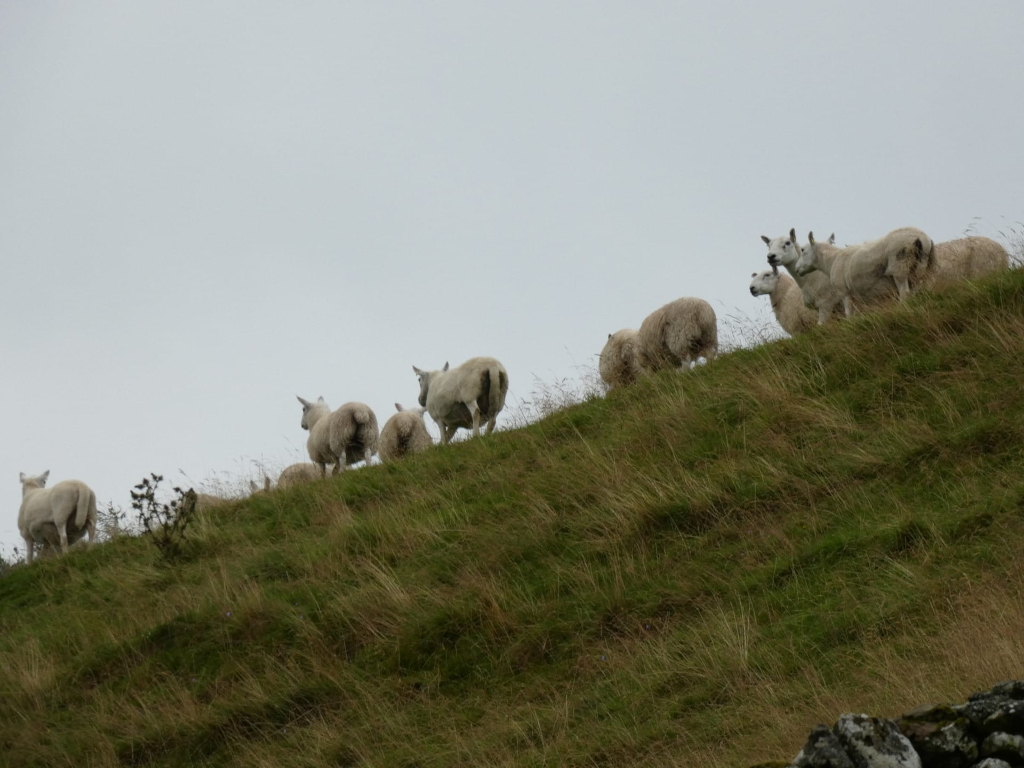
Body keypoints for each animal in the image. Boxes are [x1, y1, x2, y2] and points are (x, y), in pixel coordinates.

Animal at [795, 227, 935, 316]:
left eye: (802, 250)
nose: (796, 269)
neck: (831, 260)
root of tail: (921, 237)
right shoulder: (857, 296)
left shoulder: (844, 292)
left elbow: (848, 314)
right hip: (921, 266)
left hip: (900, 267)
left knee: (904, 293)